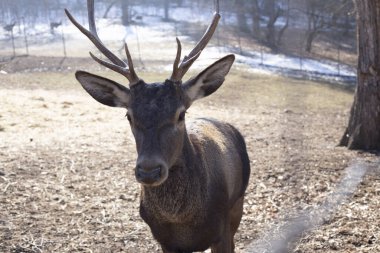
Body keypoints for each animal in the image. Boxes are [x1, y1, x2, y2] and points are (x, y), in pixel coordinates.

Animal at [64, 0, 251, 252]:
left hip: (238, 204)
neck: (182, 223)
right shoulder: (165, 240)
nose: (149, 170)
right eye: (129, 116)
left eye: (181, 114)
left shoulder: (221, 230)